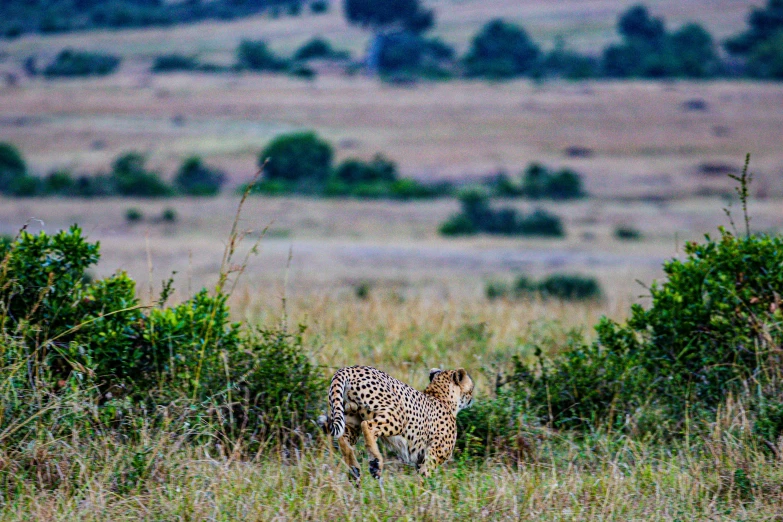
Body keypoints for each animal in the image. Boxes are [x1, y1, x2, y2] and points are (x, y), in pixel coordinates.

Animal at [316, 364, 474, 482]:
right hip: (398, 416)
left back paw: (355, 470)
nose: (472, 398)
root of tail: (350, 368)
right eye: (471, 387)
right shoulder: (434, 455)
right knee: (368, 426)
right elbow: (425, 477)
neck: (440, 396)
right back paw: (375, 463)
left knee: (343, 438)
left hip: (351, 418)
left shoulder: (421, 458)